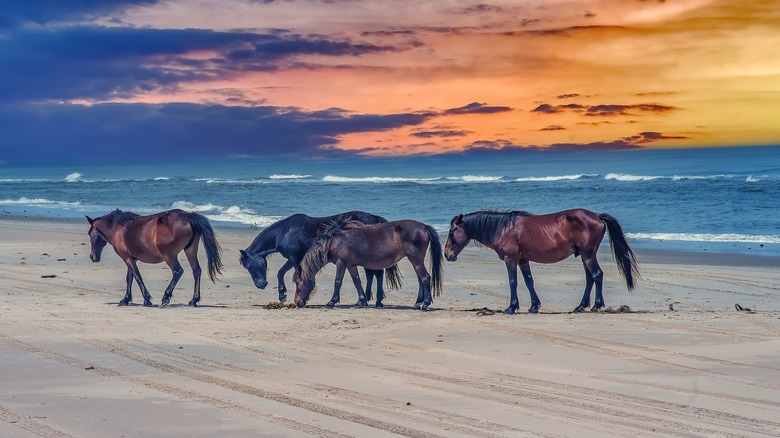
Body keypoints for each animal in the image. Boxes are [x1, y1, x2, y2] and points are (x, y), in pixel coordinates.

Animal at [86, 210, 224, 306]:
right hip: (190, 250)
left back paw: (166, 298)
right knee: (196, 271)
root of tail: (187, 216)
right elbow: (129, 278)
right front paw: (125, 299)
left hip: (170, 256)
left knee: (178, 271)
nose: (92, 256)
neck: (118, 229)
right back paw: (193, 300)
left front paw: (146, 300)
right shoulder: (131, 258)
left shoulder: (127, 258)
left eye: (90, 233)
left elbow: (137, 276)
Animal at [239, 212, 400, 304]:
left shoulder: (295, 258)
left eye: (249, 266)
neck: (284, 232)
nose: (261, 284)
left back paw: (373, 300)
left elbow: (291, 274)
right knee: (373, 274)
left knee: (375, 273)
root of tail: (373, 217)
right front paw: (282, 295)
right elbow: (281, 272)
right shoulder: (293, 258)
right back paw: (371, 300)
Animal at [294, 219, 442, 312]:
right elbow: (357, 281)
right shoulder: (351, 265)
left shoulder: (341, 263)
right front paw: (361, 302)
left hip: (416, 260)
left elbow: (337, 282)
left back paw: (425, 305)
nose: (297, 302)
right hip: (416, 261)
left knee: (425, 278)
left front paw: (331, 302)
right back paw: (417, 304)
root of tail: (424, 226)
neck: (334, 241)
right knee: (421, 280)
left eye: (297, 282)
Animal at [444, 210, 640, 314]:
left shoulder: (511, 260)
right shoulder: (523, 260)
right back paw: (581, 306)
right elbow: (529, 281)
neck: (503, 228)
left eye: (452, 231)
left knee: (597, 275)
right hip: (585, 256)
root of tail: (597, 216)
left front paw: (511, 307)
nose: (447, 254)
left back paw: (596, 306)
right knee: (590, 278)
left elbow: (513, 282)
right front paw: (533, 307)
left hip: (588, 254)